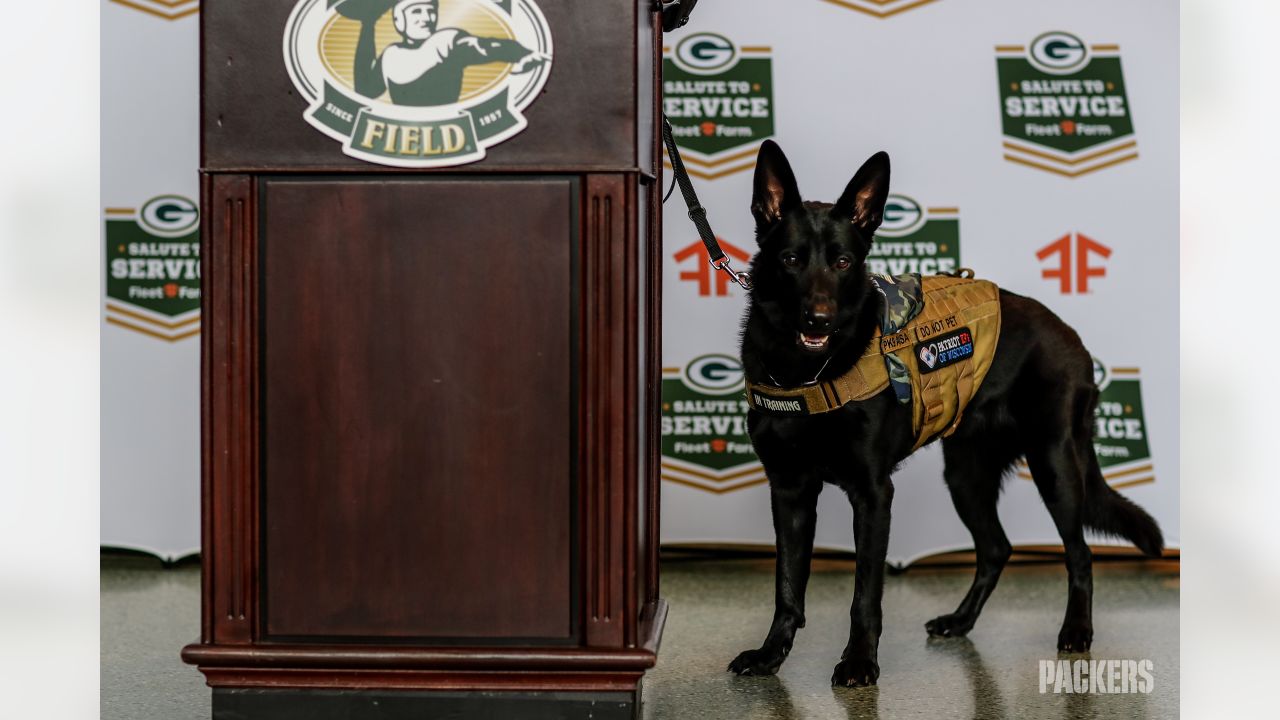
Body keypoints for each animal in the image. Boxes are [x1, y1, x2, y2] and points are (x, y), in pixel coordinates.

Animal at [732, 139, 1162, 681]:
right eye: (790, 259)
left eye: (844, 262)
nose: (819, 319)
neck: (809, 371)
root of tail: (1071, 336)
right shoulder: (789, 491)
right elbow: (787, 586)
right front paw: (771, 655)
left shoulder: (873, 493)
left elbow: (865, 592)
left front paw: (859, 662)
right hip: (964, 473)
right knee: (997, 548)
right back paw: (960, 621)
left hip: (1055, 465)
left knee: (1080, 552)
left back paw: (1076, 631)